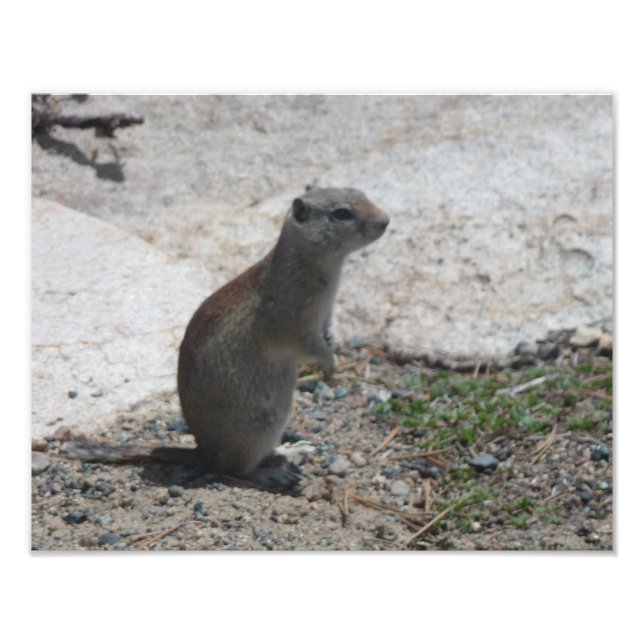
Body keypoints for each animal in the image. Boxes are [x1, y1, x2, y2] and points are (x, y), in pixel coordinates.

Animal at [66, 187, 389, 489]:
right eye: (341, 213)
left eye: (362, 194)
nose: (386, 221)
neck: (312, 263)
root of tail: (204, 452)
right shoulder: (292, 320)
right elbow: (308, 346)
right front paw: (331, 363)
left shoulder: (325, 315)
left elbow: (328, 332)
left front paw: (335, 345)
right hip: (258, 429)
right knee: (237, 470)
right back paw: (272, 473)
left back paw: (293, 450)